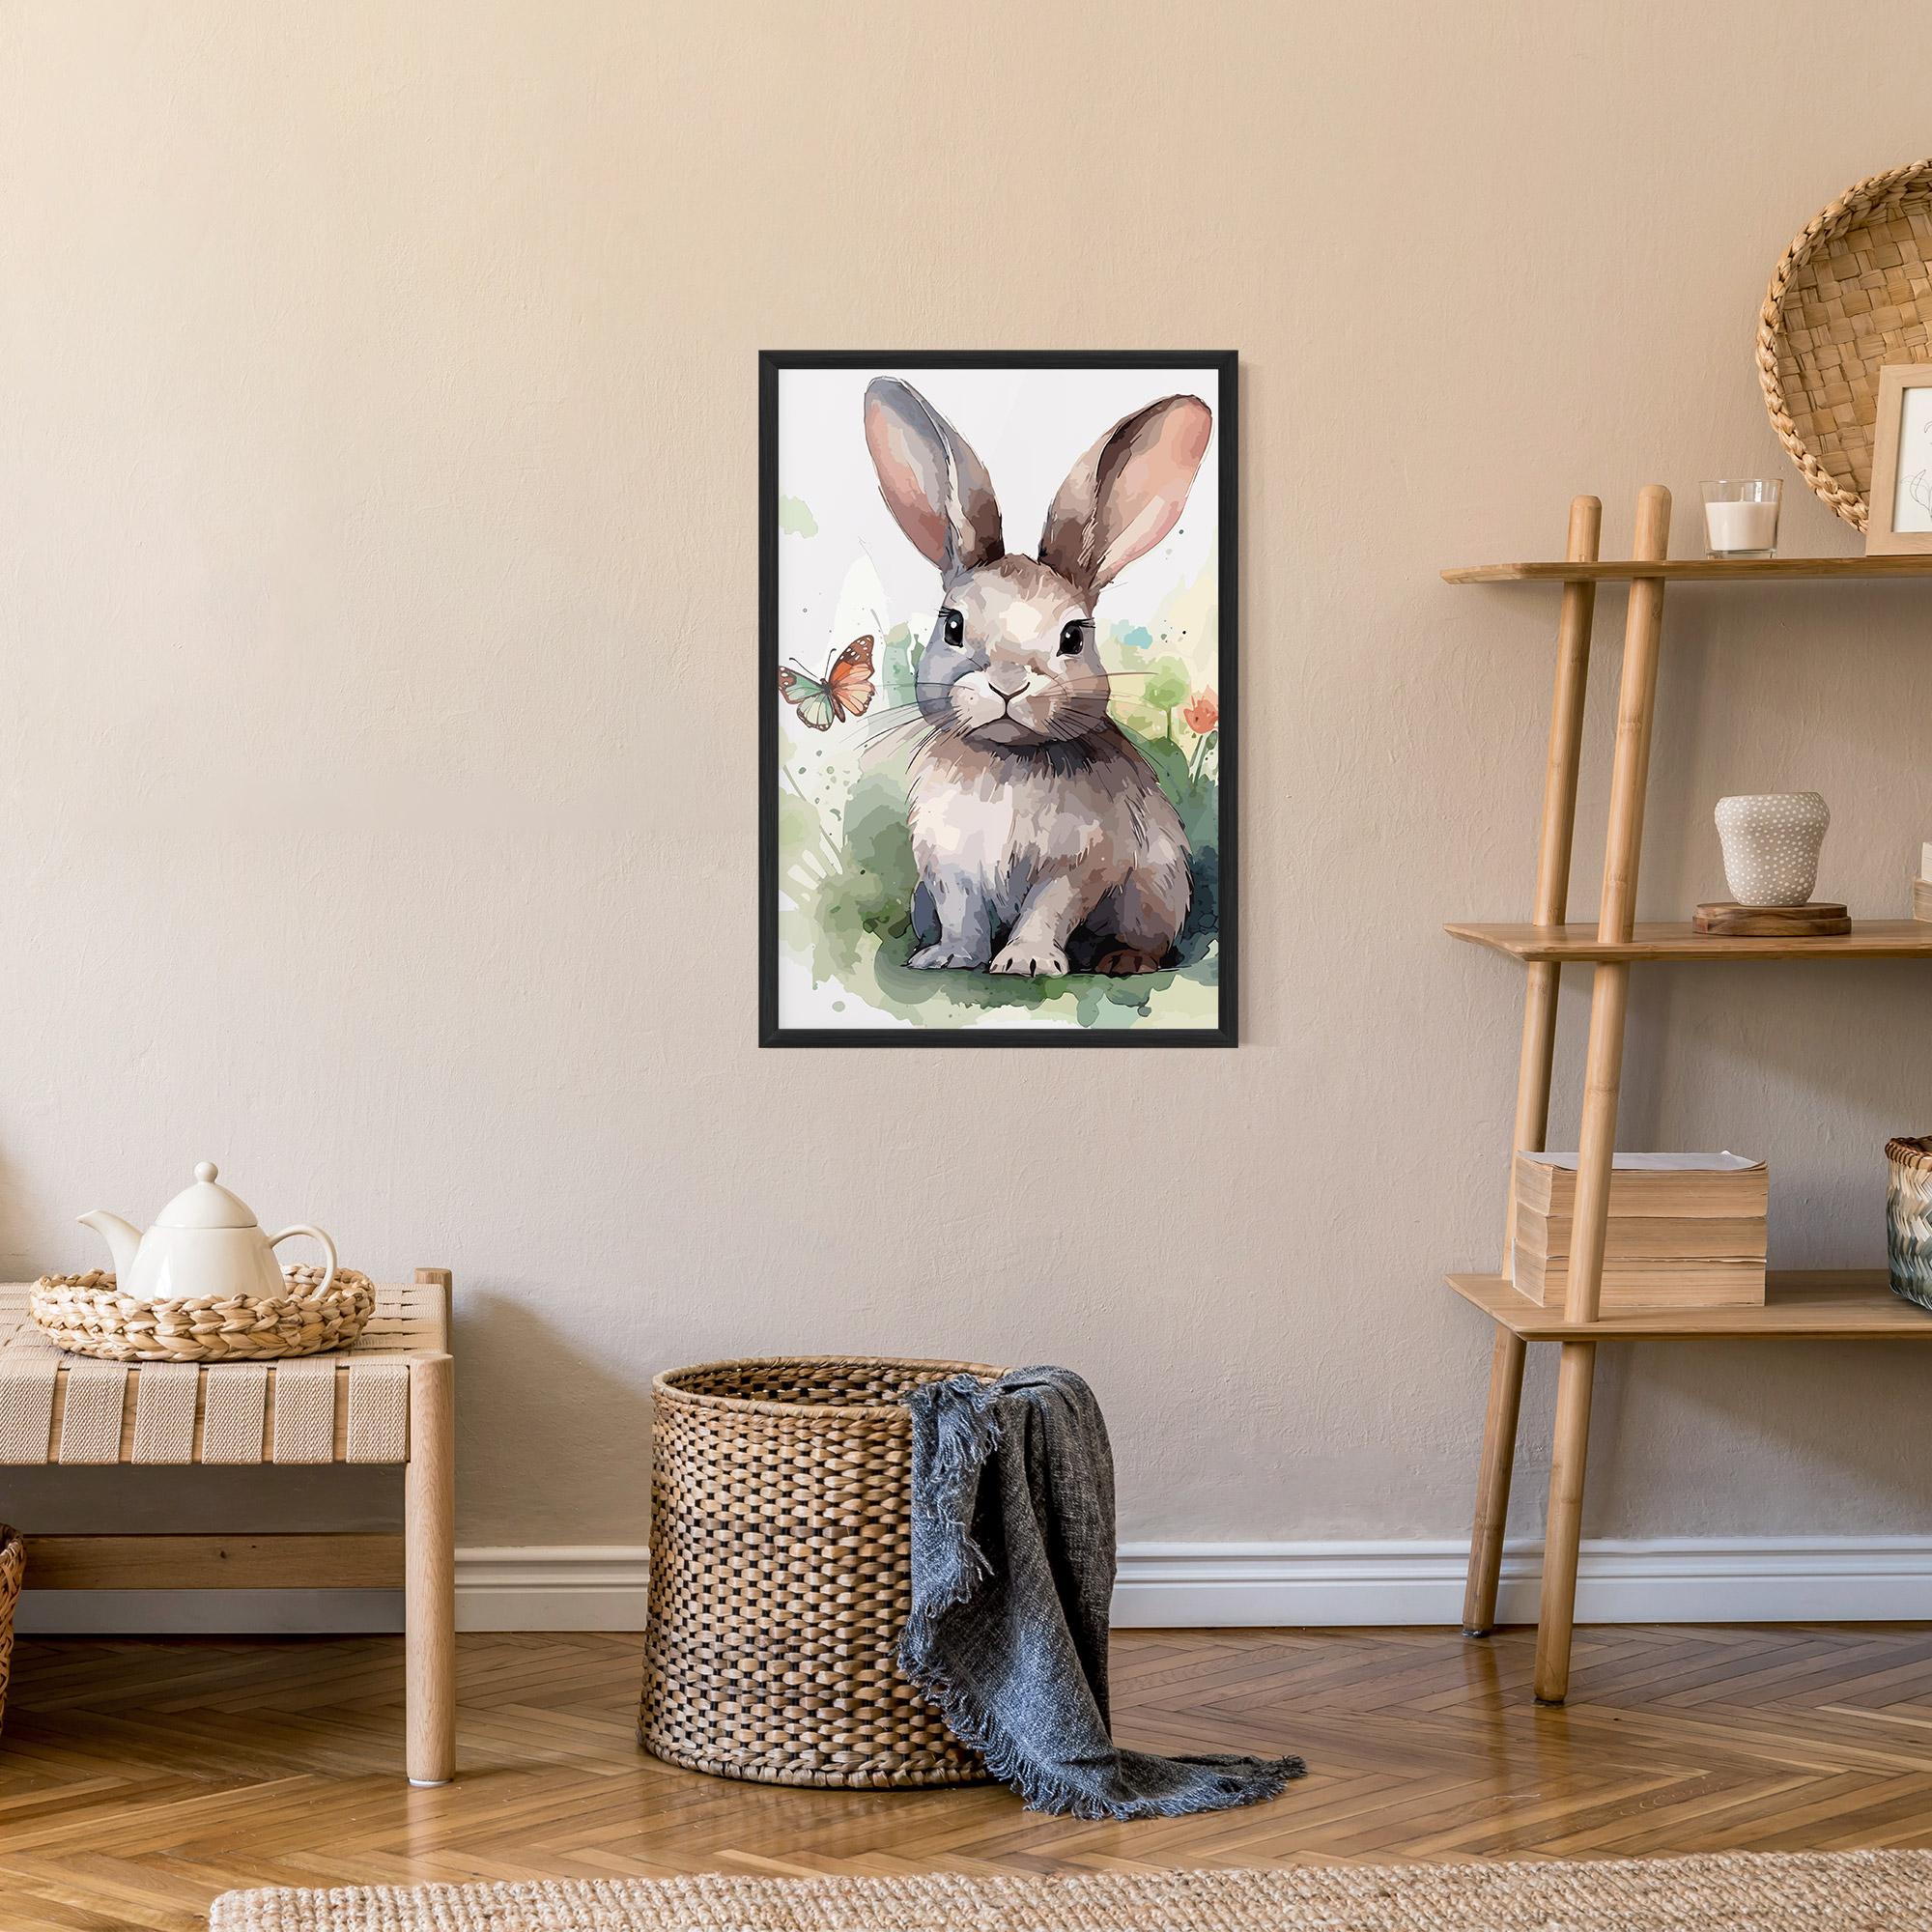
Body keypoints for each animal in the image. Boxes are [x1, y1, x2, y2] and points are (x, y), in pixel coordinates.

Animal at [862, 377, 1213, 977]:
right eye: (952, 626)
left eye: (1072, 637)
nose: (1008, 684)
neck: (1009, 760)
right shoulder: (949, 869)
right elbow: (963, 916)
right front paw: (950, 959)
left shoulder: (1076, 866)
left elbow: (1048, 910)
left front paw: (1024, 962)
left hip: (1158, 893)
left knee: (1148, 939)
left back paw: (1121, 961)